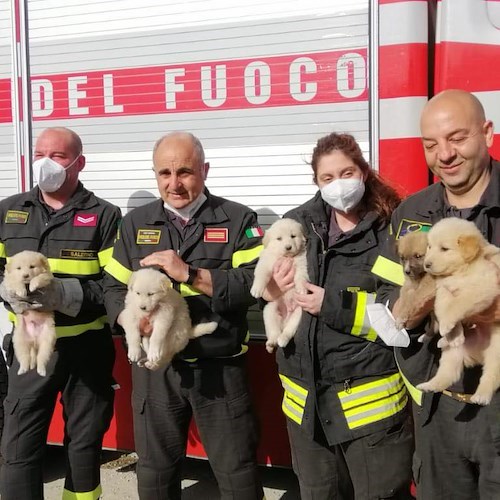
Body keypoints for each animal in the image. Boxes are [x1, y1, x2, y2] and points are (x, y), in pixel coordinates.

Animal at [250, 218, 308, 352]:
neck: (285, 257)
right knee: (274, 332)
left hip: (298, 314)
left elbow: (301, 277)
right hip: (270, 310)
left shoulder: (301, 264)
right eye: (279, 238)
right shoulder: (266, 262)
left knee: (288, 331)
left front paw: (302, 289)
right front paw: (256, 289)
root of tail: (285, 320)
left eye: (293, 236)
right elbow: (261, 275)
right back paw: (271, 344)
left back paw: (282, 340)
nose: (288, 247)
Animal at [416, 219, 500, 406]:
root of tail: (479, 353)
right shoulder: (443, 291)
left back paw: (481, 396)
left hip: (497, 351)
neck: (460, 271)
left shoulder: (483, 287)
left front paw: (447, 325)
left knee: (491, 375)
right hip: (453, 354)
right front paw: (452, 333)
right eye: (429, 247)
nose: (426, 264)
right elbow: (444, 307)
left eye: (444, 249)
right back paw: (430, 384)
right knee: (449, 374)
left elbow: (458, 305)